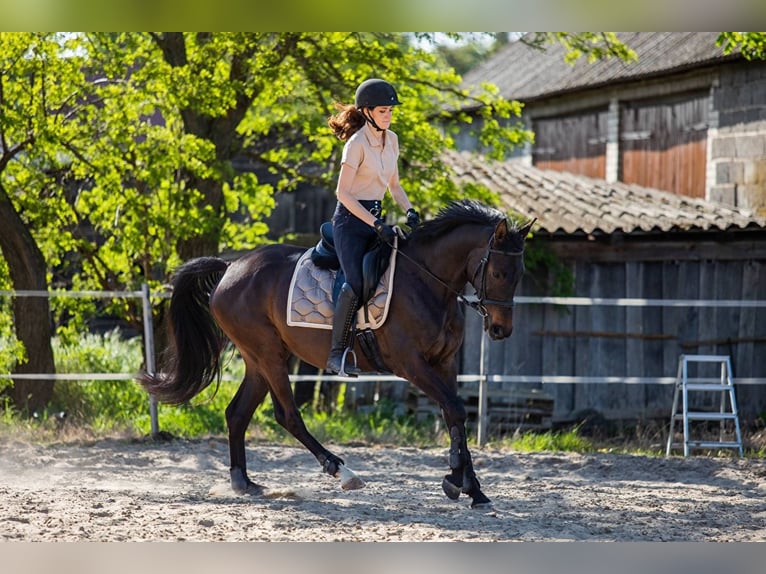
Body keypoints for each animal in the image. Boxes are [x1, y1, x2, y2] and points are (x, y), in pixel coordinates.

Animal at [140, 200, 536, 510]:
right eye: (498, 272)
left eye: (520, 274)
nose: (500, 330)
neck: (426, 282)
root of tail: (230, 268)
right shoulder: (410, 364)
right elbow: (454, 409)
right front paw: (459, 481)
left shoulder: (445, 362)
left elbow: (455, 414)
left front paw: (470, 487)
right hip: (270, 355)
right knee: (288, 416)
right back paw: (342, 471)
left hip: (258, 359)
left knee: (237, 413)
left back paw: (244, 483)